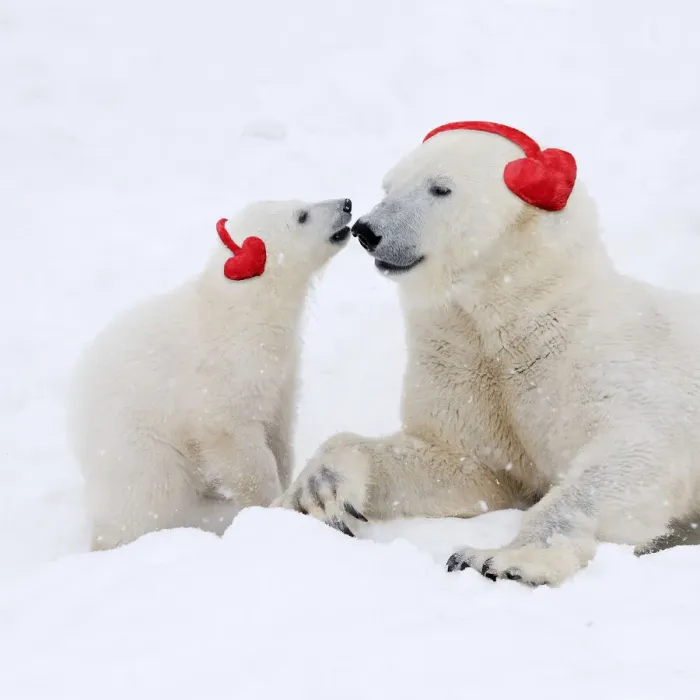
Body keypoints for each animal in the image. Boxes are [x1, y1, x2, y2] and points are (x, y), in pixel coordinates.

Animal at [70, 197, 353, 550]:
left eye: (302, 202)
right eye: (302, 216)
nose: (346, 203)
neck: (244, 310)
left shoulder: (282, 369)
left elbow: (279, 427)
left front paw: (289, 478)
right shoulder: (227, 373)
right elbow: (236, 441)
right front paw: (270, 504)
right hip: (135, 442)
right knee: (150, 494)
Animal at [275, 123, 700, 586]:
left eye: (440, 188)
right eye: (388, 185)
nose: (367, 230)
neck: (516, 315)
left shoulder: (602, 358)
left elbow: (633, 454)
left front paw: (498, 559)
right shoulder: (462, 364)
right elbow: (468, 464)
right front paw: (320, 492)